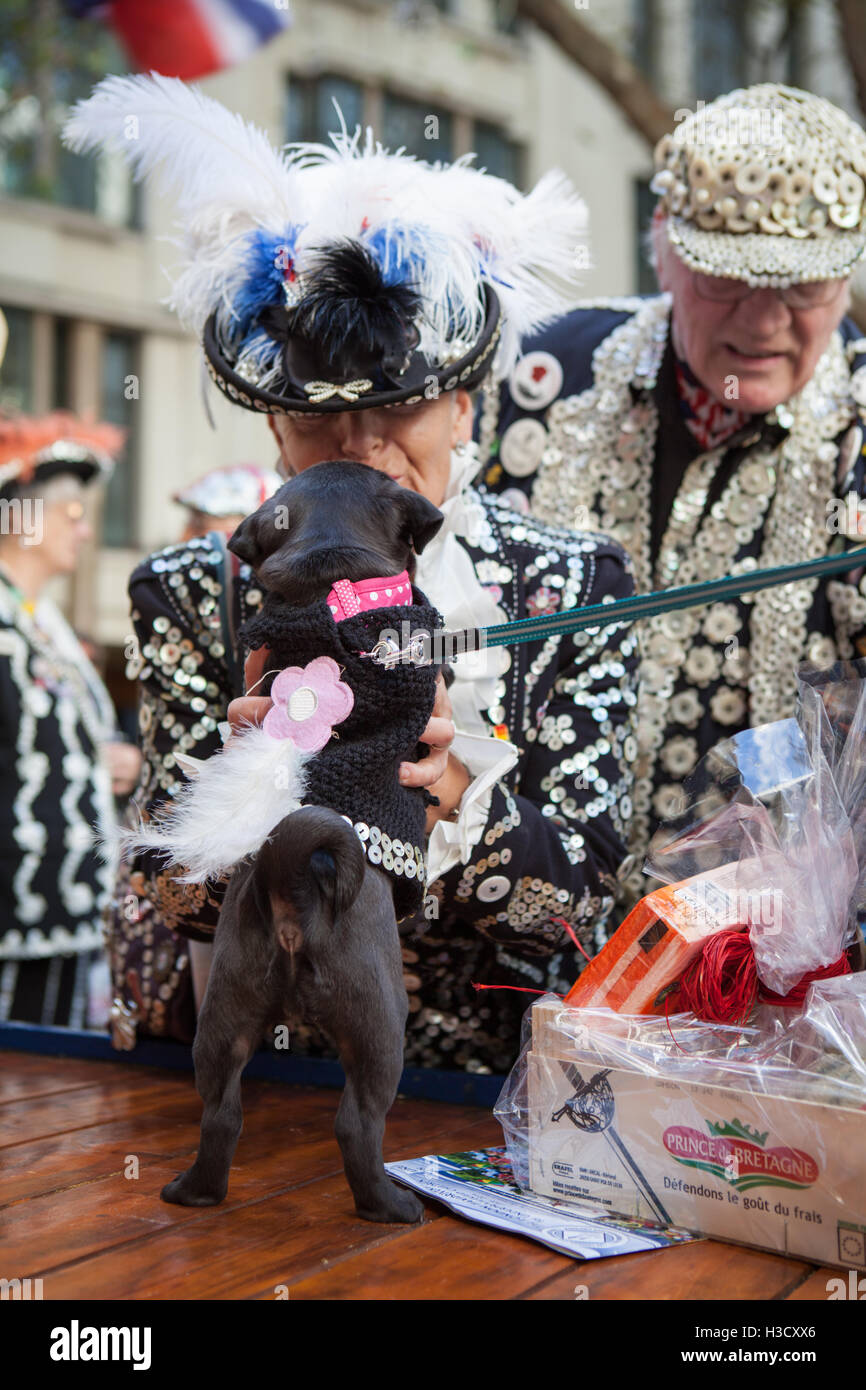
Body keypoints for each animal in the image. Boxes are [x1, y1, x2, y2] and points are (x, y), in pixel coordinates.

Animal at [161, 461, 447, 1223]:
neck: (330, 578)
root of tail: (293, 884)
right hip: (378, 1026)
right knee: (357, 1124)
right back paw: (388, 1205)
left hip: (225, 1015)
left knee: (220, 1115)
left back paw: (195, 1191)